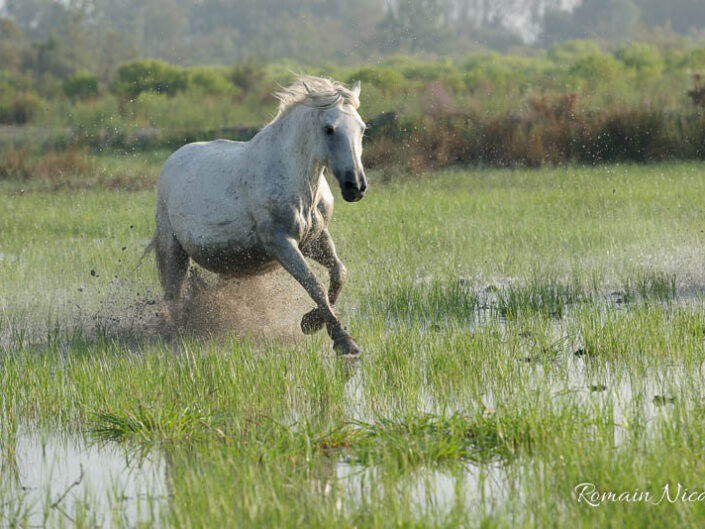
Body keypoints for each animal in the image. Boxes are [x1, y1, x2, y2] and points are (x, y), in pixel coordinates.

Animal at [151, 75, 366, 354]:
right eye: (329, 129)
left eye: (362, 128)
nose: (356, 186)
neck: (296, 179)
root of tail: (172, 161)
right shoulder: (281, 243)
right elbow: (313, 284)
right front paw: (343, 339)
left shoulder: (314, 239)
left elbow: (339, 273)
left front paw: (311, 322)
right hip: (172, 248)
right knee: (172, 293)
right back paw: (174, 334)